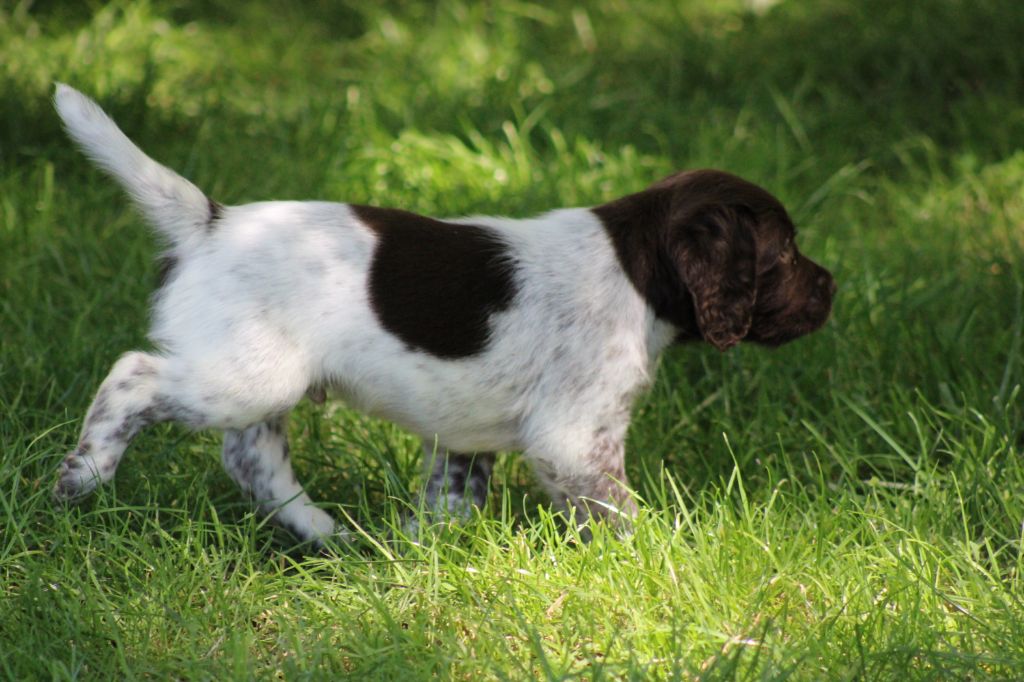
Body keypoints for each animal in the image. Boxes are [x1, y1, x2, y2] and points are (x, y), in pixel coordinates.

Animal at [51, 83, 831, 540]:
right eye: (784, 253)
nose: (831, 289)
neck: (636, 271)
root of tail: (210, 221)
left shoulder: (464, 435)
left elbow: (452, 499)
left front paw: (426, 551)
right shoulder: (578, 435)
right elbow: (616, 512)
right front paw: (655, 560)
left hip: (267, 380)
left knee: (252, 460)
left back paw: (326, 534)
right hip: (242, 376)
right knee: (134, 376)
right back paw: (83, 474)